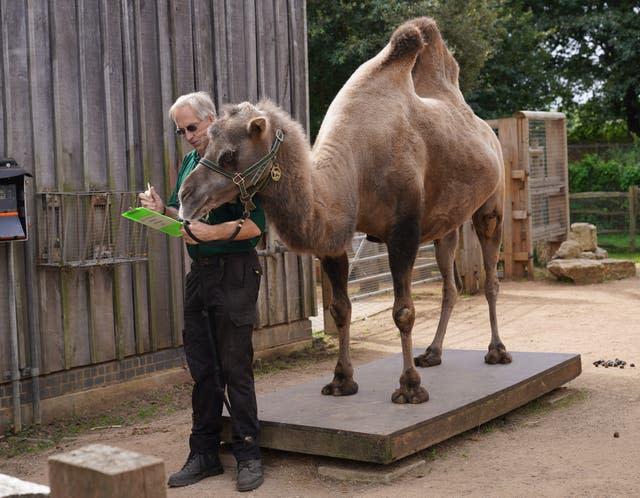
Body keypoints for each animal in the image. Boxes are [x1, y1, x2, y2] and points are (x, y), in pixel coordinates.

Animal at [178, 17, 512, 402]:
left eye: (229, 155)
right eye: (206, 143)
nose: (185, 194)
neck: (355, 166)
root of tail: (487, 130)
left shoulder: (403, 230)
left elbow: (404, 311)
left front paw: (410, 387)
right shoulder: (335, 239)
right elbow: (339, 309)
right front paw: (341, 380)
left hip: (491, 205)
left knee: (490, 277)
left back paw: (497, 351)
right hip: (446, 224)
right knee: (451, 286)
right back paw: (432, 353)